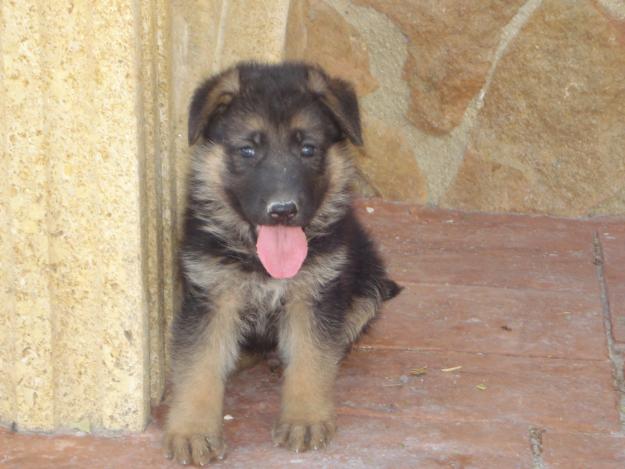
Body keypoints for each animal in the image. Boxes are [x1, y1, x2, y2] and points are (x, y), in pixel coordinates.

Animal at [166, 62, 400, 464]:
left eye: (308, 149)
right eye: (247, 150)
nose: (283, 210)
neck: (262, 263)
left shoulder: (316, 296)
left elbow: (311, 358)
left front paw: (303, 419)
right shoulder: (211, 297)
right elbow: (199, 365)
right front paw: (194, 430)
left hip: (368, 285)